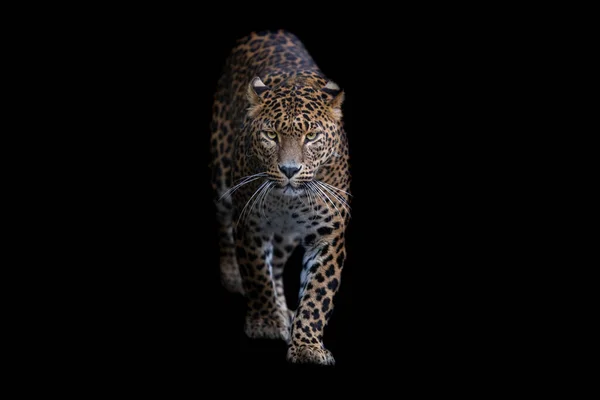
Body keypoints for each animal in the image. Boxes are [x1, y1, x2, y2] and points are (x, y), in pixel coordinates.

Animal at [210, 28, 352, 366]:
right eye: (271, 135)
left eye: (311, 136)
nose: (289, 169)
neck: (287, 201)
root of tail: (267, 30)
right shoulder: (249, 223)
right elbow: (256, 273)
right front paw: (265, 323)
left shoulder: (329, 234)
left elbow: (317, 293)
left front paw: (307, 346)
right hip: (221, 175)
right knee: (225, 228)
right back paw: (234, 279)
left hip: (287, 235)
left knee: (276, 265)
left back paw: (283, 309)